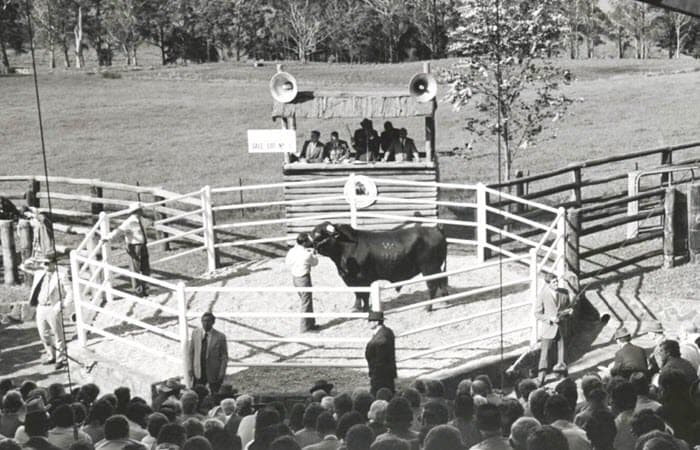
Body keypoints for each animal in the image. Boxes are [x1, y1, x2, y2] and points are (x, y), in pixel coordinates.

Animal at [310, 221, 448, 312]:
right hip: (436, 268)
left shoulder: (362, 279)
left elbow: (364, 295)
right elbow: (357, 294)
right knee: (442, 280)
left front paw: (365, 309)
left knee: (432, 285)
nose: (304, 240)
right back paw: (444, 300)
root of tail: (435, 229)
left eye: (318, 234)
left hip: (429, 268)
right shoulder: (350, 279)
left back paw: (428, 307)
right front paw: (355, 307)